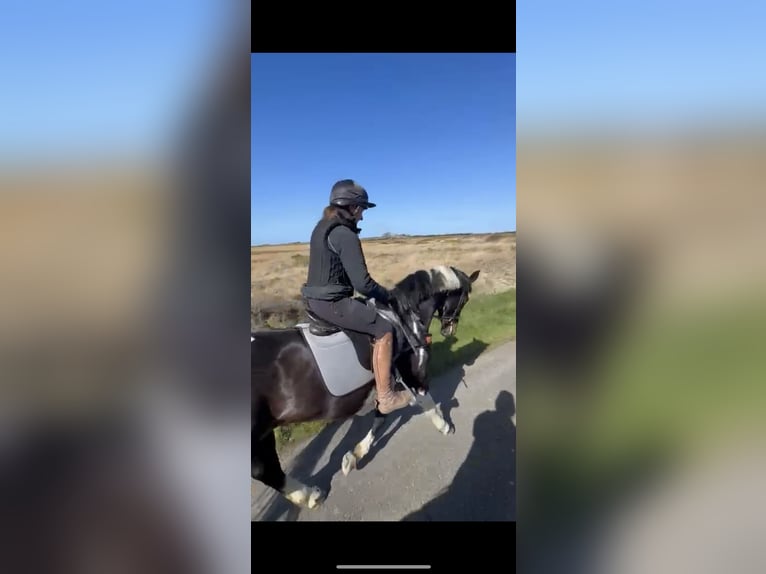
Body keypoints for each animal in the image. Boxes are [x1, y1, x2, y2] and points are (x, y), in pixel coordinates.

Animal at [251, 265, 480, 510]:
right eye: (465, 298)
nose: (450, 328)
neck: (405, 318)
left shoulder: (387, 383)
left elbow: (380, 418)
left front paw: (353, 457)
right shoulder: (413, 376)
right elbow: (423, 402)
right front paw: (444, 425)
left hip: (265, 431)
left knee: (268, 470)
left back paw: (307, 495)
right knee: (263, 470)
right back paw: (310, 494)